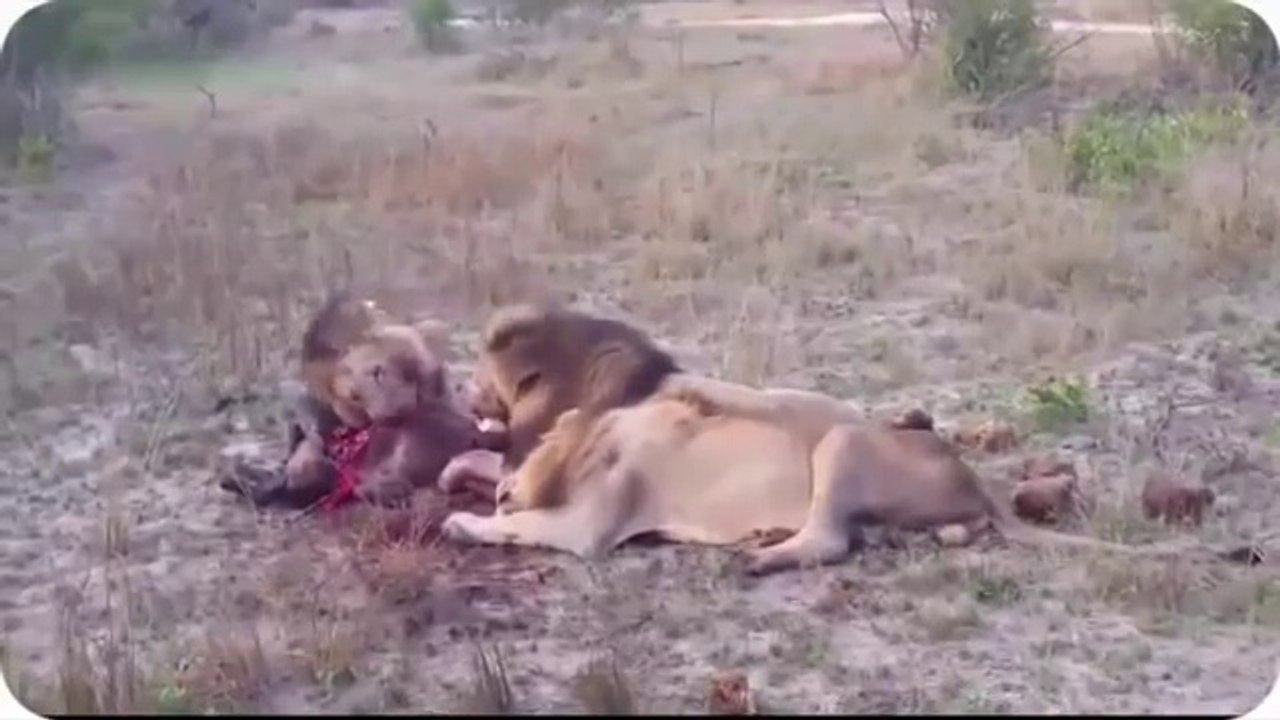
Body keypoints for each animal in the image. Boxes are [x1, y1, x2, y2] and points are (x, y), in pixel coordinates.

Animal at [440, 373, 1227, 575]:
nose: (504, 483)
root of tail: (977, 485)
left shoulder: (589, 527)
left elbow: (520, 526)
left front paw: (464, 519)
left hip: (842, 443)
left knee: (829, 540)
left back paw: (759, 559)